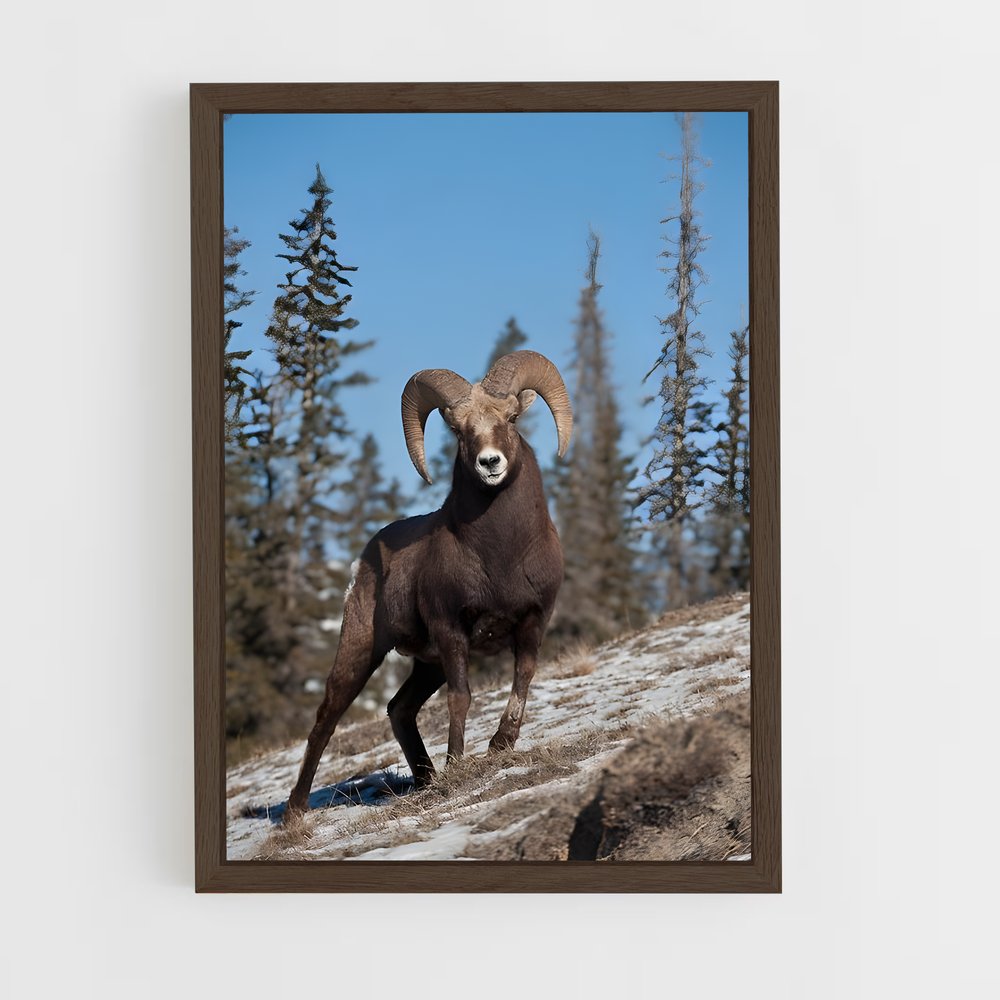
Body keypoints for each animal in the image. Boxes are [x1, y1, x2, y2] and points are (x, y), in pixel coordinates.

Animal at [286, 350, 573, 816]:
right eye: (458, 429)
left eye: (512, 418)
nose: (490, 464)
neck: (503, 556)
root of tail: (363, 562)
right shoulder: (451, 630)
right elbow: (461, 697)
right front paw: (457, 763)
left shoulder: (533, 620)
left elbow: (523, 677)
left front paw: (500, 745)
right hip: (362, 651)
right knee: (326, 720)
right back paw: (295, 812)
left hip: (426, 665)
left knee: (399, 708)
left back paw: (426, 778)